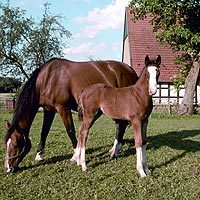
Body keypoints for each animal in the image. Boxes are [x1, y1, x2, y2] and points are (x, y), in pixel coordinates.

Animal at [3, 58, 138, 173]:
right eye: (6, 144)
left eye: (16, 144)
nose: (7, 169)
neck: (47, 78)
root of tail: (129, 69)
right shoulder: (49, 110)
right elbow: (44, 132)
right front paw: (39, 155)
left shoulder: (63, 108)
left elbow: (70, 131)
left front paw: (75, 157)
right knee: (120, 125)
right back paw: (114, 151)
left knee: (121, 125)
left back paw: (114, 152)